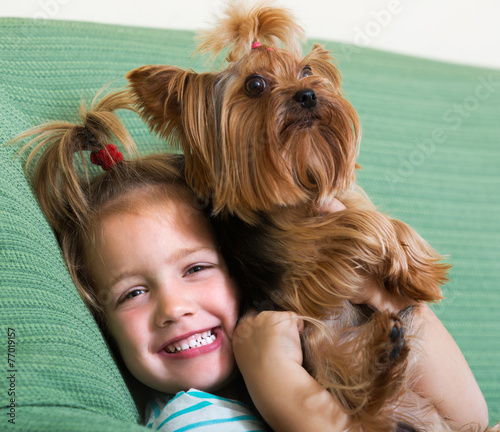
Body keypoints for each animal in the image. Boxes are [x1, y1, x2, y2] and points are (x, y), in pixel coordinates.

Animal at [128, 1, 496, 430]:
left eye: (306, 72)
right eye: (255, 85)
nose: (308, 95)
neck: (301, 183)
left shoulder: (345, 200)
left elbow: (383, 221)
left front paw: (420, 274)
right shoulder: (302, 258)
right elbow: (357, 227)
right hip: (328, 354)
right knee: (360, 394)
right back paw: (383, 356)